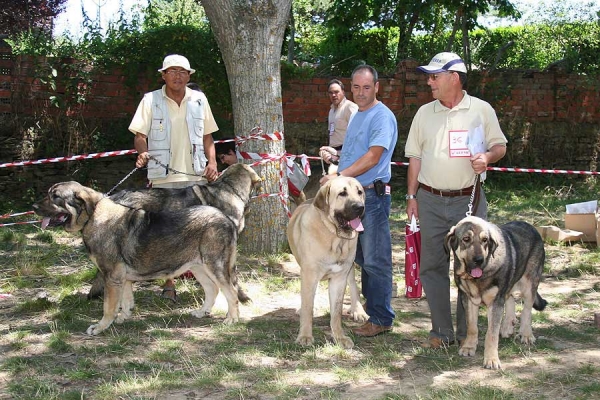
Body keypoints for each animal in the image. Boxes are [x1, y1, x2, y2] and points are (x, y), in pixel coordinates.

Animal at [34, 181, 250, 334]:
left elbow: (108, 307)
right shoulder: (123, 279)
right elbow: (126, 301)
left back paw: (232, 319)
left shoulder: (112, 277)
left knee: (230, 291)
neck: (93, 216)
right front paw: (123, 317)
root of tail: (226, 219)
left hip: (215, 265)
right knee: (213, 289)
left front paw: (101, 326)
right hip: (198, 267)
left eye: (55, 197)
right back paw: (202, 311)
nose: (34, 206)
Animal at [284, 177, 366, 348]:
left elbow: (336, 312)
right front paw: (305, 336)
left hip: (349, 268)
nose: (360, 207)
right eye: (342, 193)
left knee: (353, 286)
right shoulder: (309, 275)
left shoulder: (339, 278)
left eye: (359, 192)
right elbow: (308, 307)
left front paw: (339, 337)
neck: (334, 237)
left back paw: (358, 311)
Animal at [446, 217, 548, 370]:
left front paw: (491, 359)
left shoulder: (495, 302)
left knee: (527, 310)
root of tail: (529, 225)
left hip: (530, 284)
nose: (479, 260)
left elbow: (491, 333)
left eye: (485, 240)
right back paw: (507, 326)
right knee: (510, 298)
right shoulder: (468, 300)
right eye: (466, 239)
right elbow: (472, 327)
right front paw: (469, 347)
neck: (479, 276)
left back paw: (526, 334)